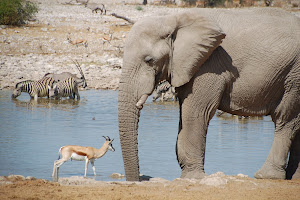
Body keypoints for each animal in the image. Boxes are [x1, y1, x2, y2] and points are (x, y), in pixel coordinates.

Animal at [118, 8, 300, 181]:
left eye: (149, 60)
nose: (137, 179)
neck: (172, 19)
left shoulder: (210, 64)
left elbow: (195, 112)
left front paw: (192, 177)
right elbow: (184, 114)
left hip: (293, 76)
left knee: (285, 119)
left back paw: (266, 175)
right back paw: (293, 177)